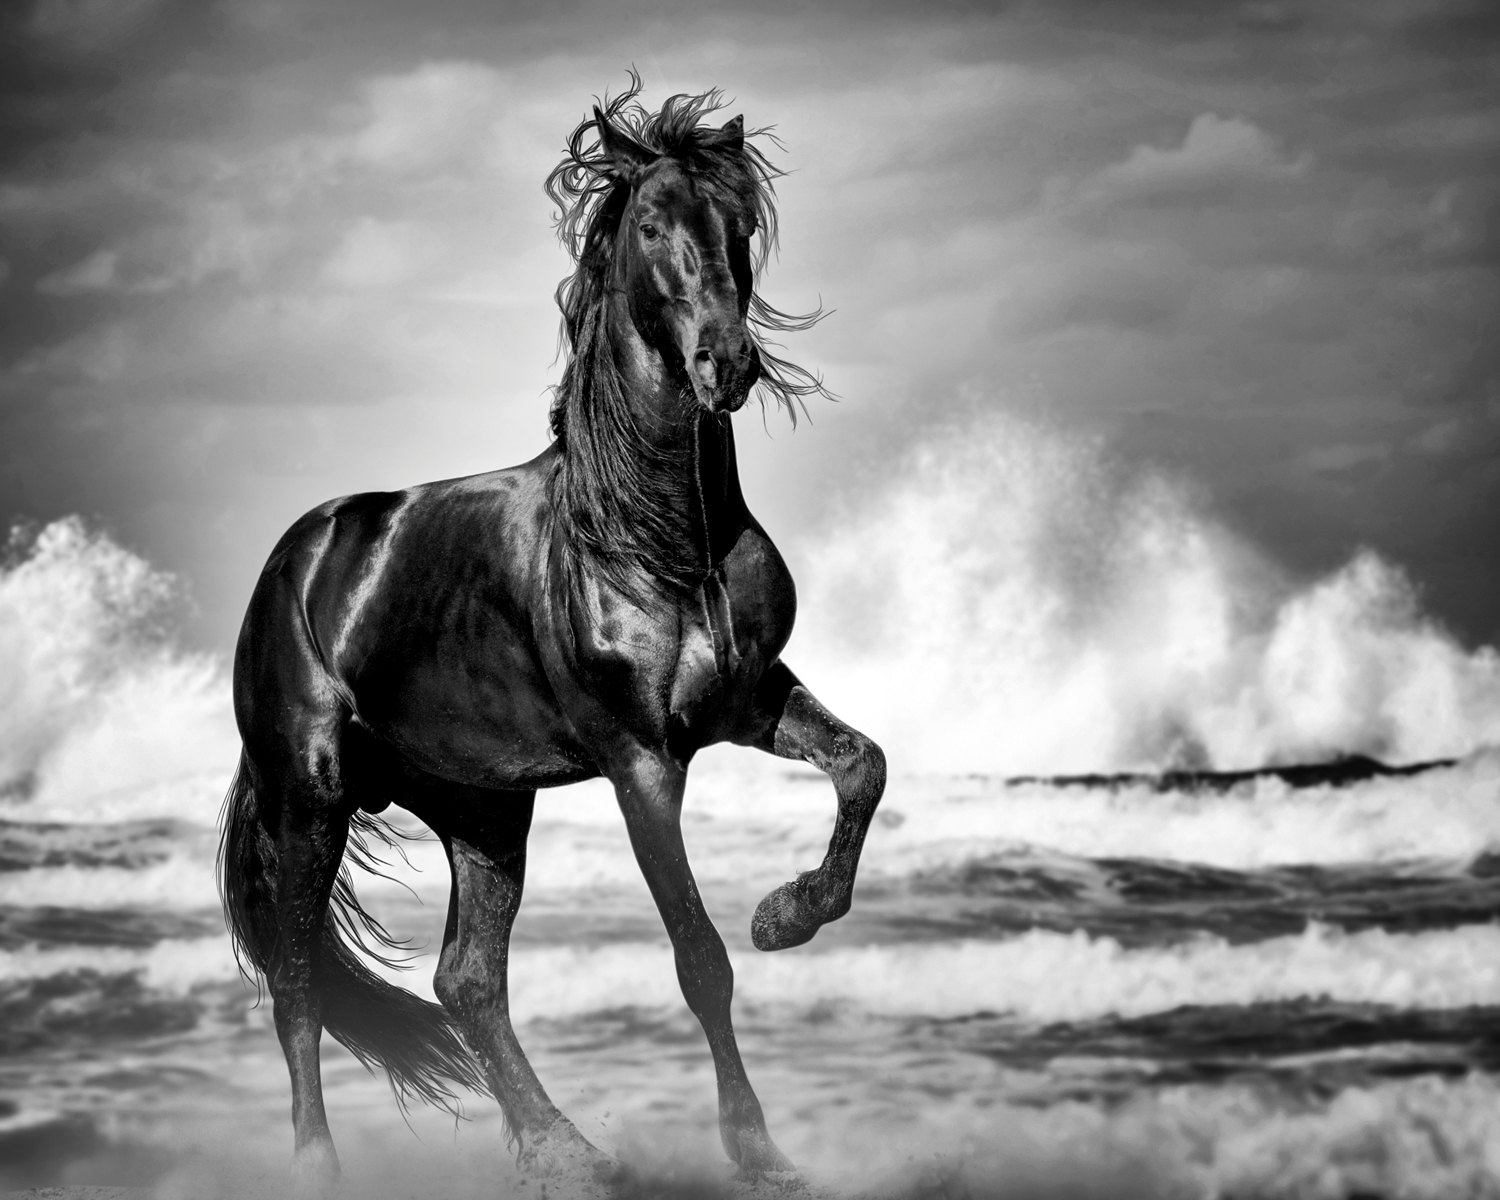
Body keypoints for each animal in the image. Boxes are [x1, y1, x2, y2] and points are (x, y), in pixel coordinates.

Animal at [218, 76, 887, 1189]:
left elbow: (862, 766)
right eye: (653, 223)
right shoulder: (641, 760)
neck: (654, 538)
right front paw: (758, 1151)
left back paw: (564, 1149)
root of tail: (296, 562)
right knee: (301, 985)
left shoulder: (751, 700)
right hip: (309, 796)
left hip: (483, 812)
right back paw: (321, 1165)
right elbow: (699, 959)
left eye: (740, 223)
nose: (727, 362)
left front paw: (787, 914)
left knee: (465, 981)